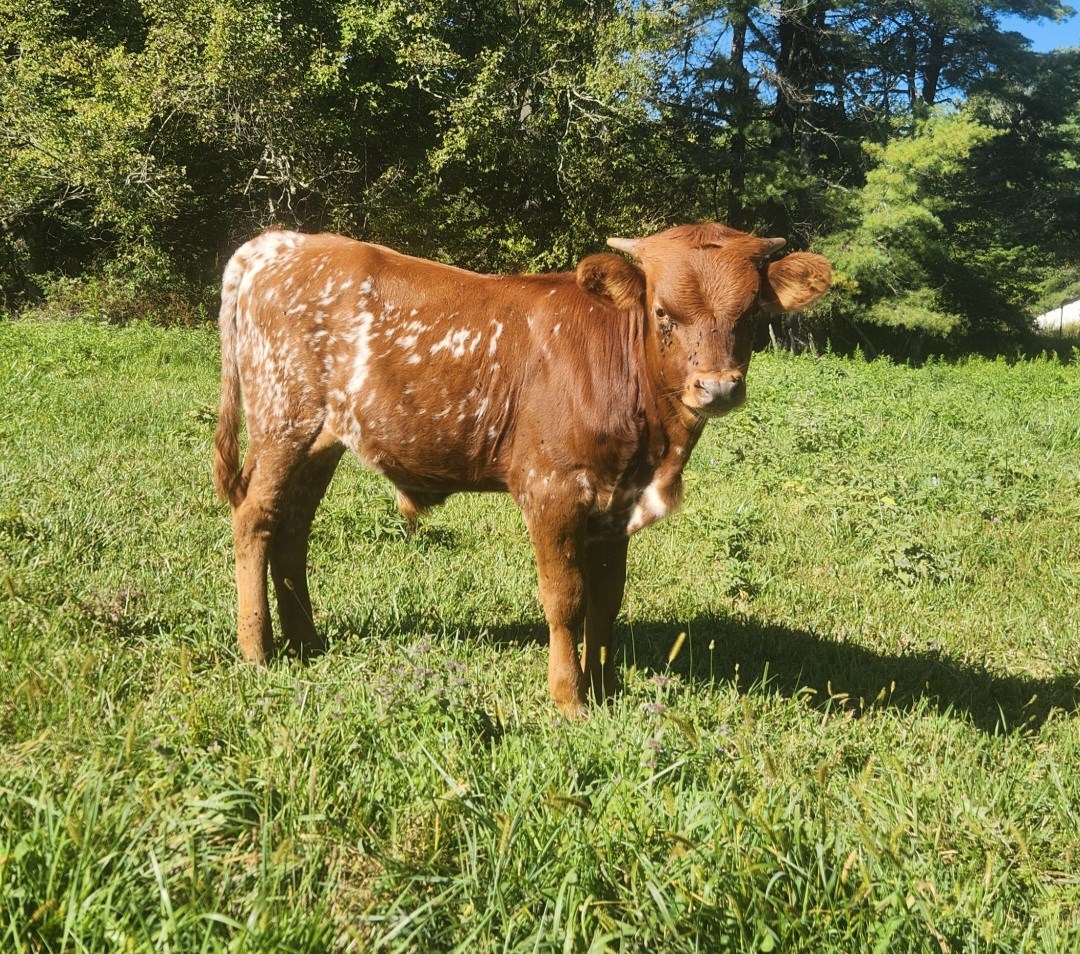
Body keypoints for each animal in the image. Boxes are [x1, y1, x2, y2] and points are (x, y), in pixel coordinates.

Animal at [214, 224, 831, 717]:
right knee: (255, 519)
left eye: (750, 315)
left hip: (322, 441)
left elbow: (608, 597)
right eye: (663, 313)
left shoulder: (615, 502)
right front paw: (569, 698)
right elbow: (566, 598)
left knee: (292, 528)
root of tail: (282, 243)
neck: (653, 447)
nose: (718, 388)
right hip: (282, 422)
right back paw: (257, 650)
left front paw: (605, 688)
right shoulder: (552, 490)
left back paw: (306, 642)